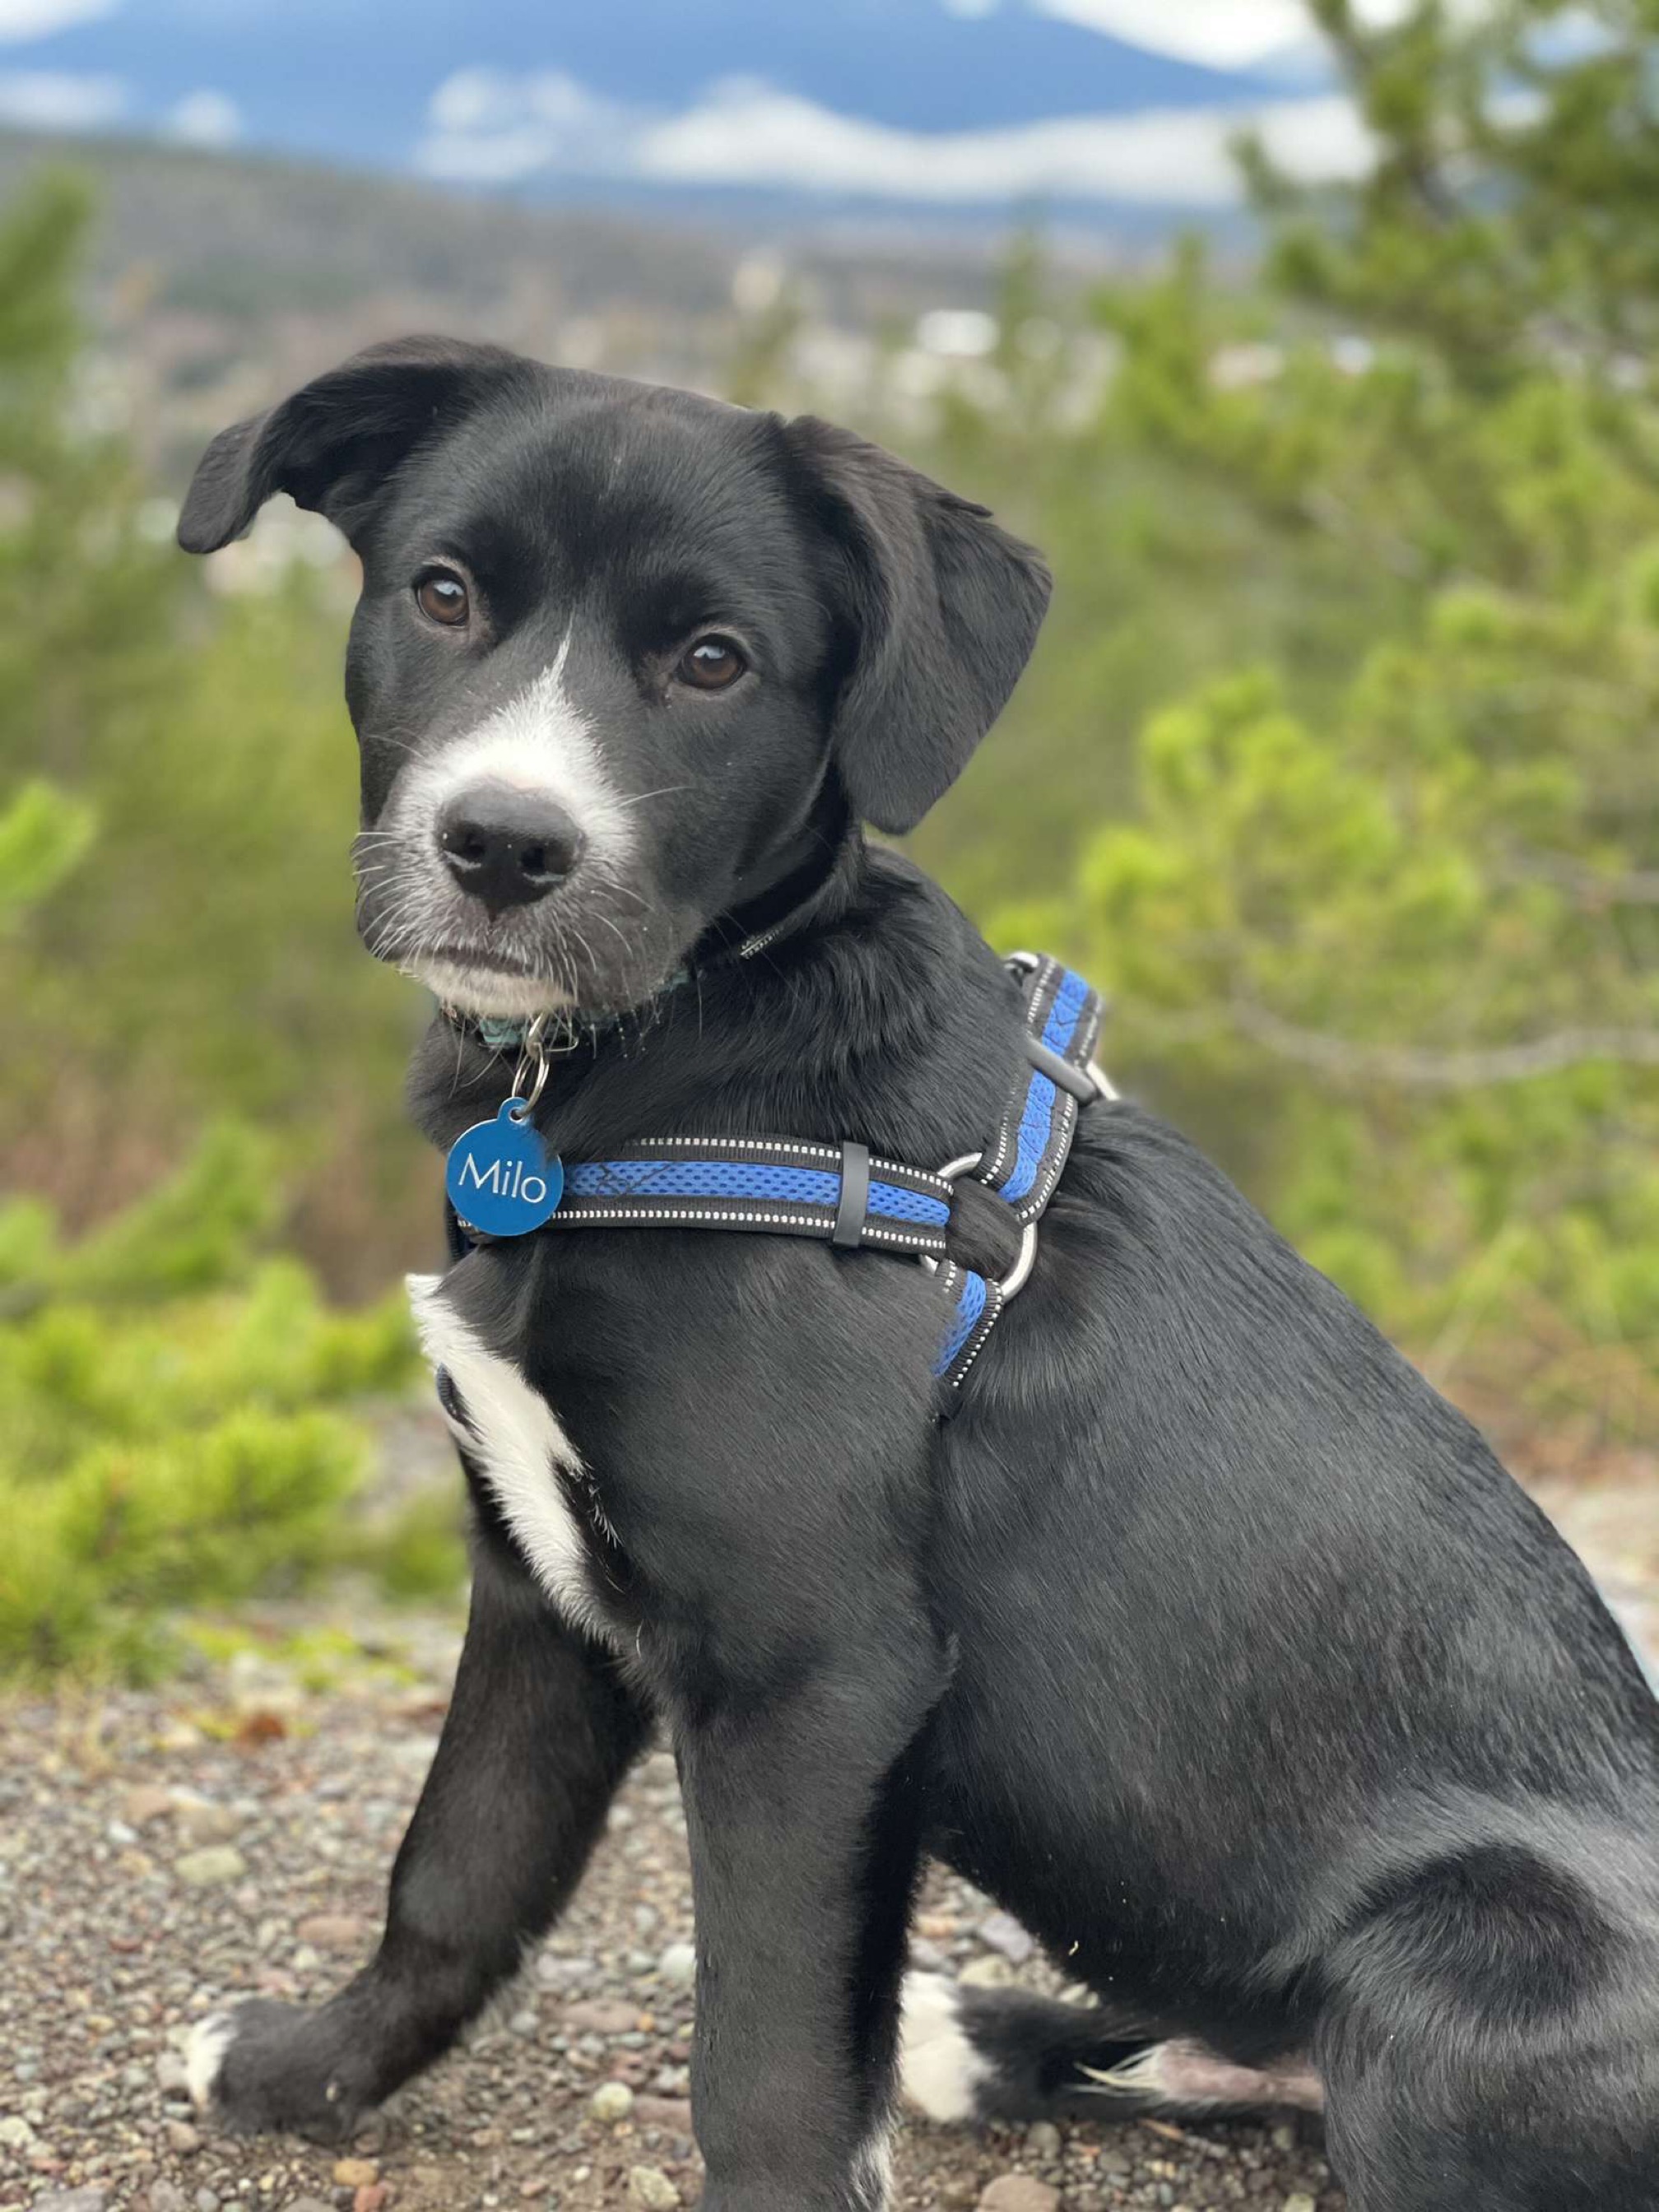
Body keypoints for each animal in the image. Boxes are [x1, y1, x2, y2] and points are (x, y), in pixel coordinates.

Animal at [174, 338, 1659, 2211]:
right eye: (443, 594)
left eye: (713, 661)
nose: (503, 846)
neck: (664, 1060)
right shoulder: (536, 1591)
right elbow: (453, 1875)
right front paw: (303, 2073)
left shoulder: (814, 1678)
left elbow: (766, 2070)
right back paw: (1001, 2038)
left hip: (1453, 1963)